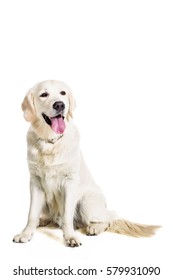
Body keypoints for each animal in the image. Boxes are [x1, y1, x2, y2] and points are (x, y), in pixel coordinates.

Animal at [13, 80, 159, 246]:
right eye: (44, 94)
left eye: (63, 93)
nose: (60, 105)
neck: (51, 143)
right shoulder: (36, 182)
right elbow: (31, 214)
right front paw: (26, 233)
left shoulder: (70, 182)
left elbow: (67, 215)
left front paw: (70, 237)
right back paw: (42, 221)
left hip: (86, 203)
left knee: (109, 219)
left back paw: (93, 228)